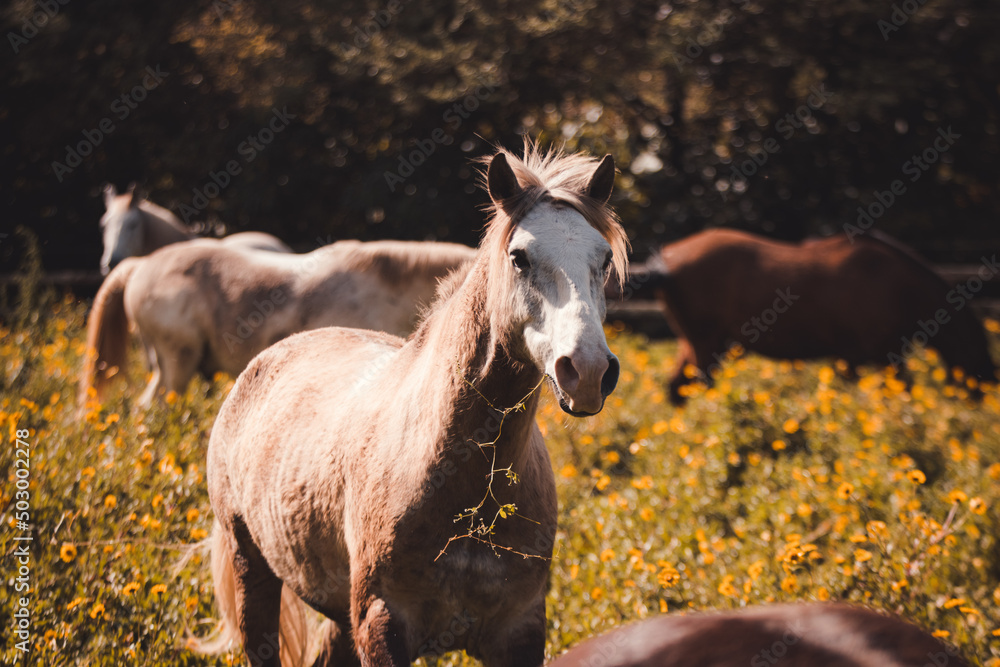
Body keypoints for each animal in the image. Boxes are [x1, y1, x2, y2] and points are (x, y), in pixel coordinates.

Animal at [187, 145, 628, 667]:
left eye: (603, 259)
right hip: (252, 571)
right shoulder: (382, 624)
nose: (588, 370)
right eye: (519, 257)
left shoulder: (519, 632)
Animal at [616, 229, 996, 404]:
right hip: (705, 344)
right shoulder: (878, 356)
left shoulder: (858, 358)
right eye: (980, 376)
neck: (895, 285)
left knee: (677, 388)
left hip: (700, 343)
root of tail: (666, 260)